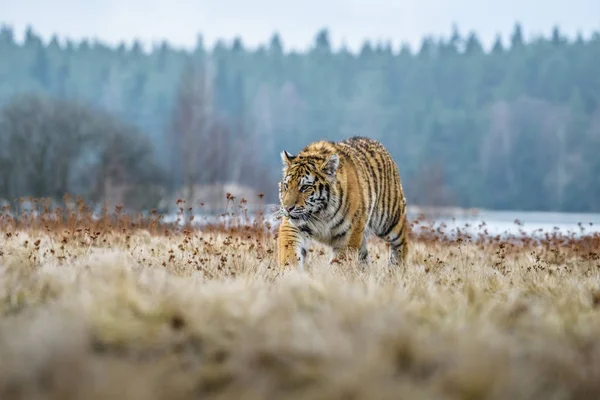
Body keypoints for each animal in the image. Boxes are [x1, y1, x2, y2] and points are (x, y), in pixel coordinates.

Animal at [276, 136, 408, 270]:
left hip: (389, 220)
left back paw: (396, 269)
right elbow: (290, 252)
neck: (320, 214)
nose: (287, 208)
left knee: (402, 242)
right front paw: (291, 272)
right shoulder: (292, 227)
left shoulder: (348, 234)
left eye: (305, 187)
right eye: (286, 186)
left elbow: (341, 262)